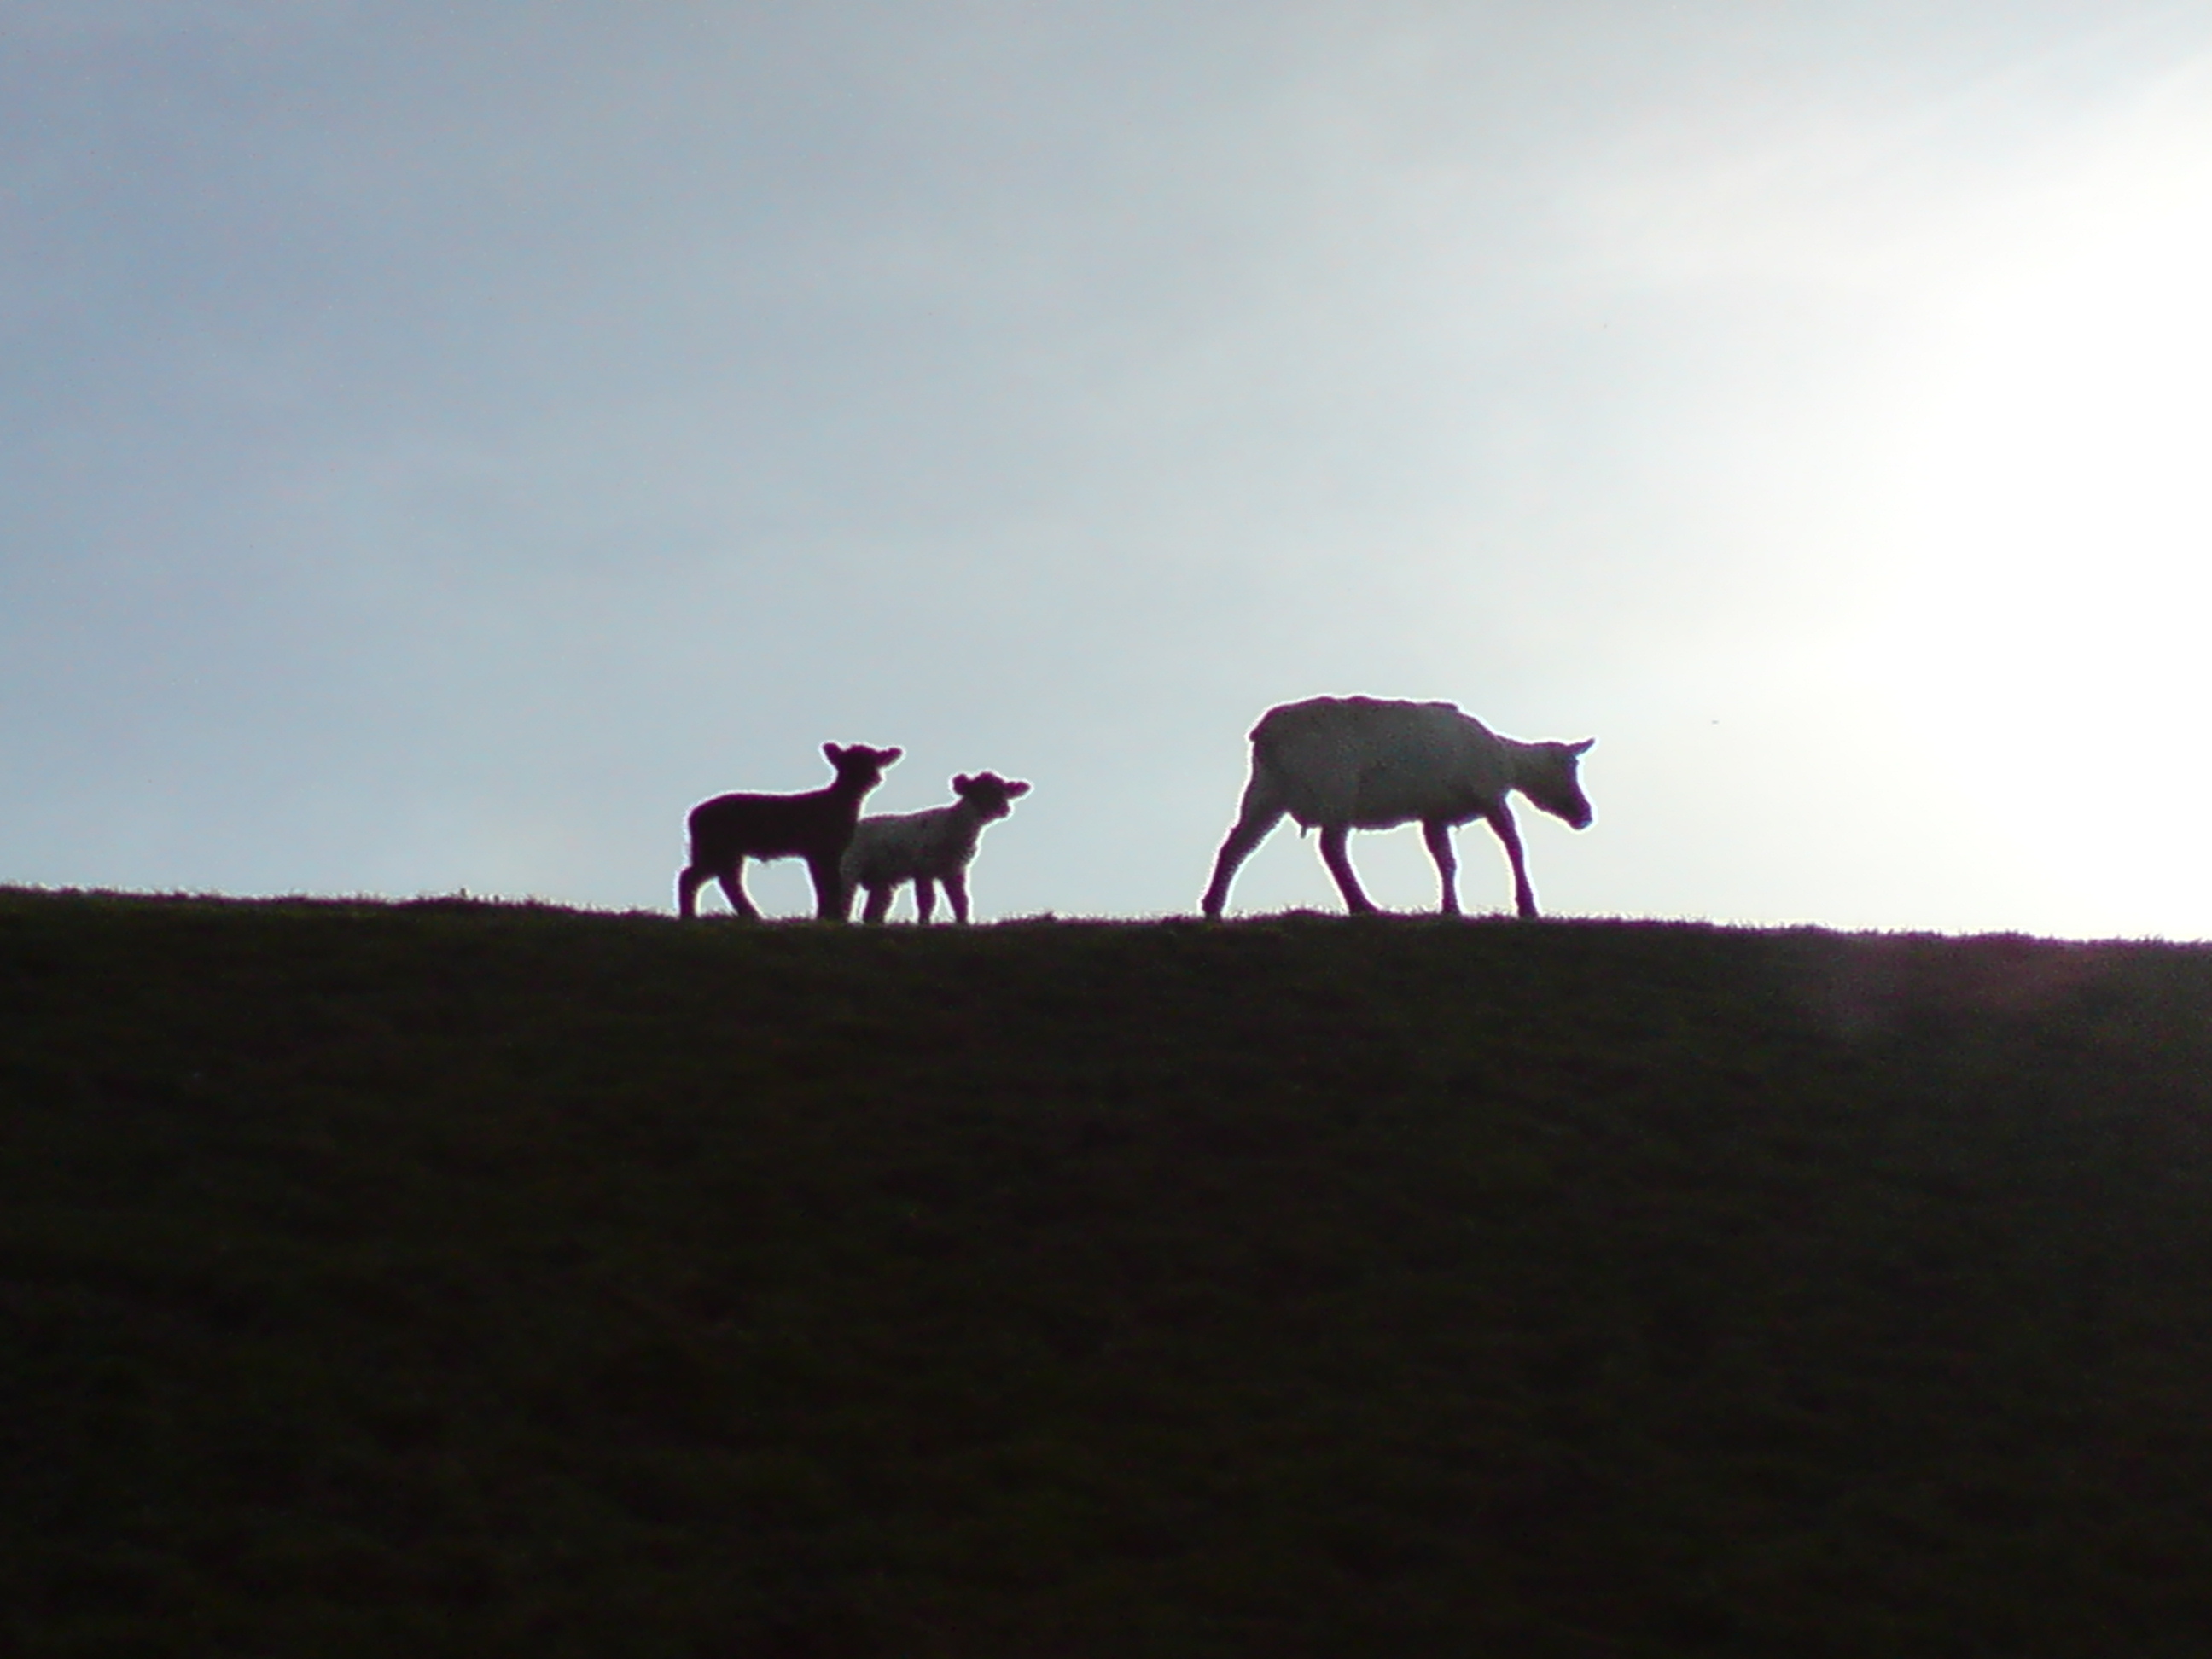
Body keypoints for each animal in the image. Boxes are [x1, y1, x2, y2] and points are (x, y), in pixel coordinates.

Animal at [677, 742, 902, 920]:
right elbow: (824, 884)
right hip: (715, 846)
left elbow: (832, 882)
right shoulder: (817, 849)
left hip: (723, 850)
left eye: (875, 761)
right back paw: (691, 915)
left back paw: (748, 914)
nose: (874, 778)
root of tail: (693, 815)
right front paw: (828, 916)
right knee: (695, 877)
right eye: (848, 764)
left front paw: (830, 916)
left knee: (724, 879)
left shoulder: (833, 850)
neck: (838, 803)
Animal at [842, 771, 1032, 924]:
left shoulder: (955, 869)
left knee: (873, 910)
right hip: (849, 865)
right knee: (845, 897)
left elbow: (960, 899)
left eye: (1005, 791)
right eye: (980, 791)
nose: (1004, 809)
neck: (955, 824)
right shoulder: (923, 867)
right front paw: (923, 923)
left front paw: (963, 923)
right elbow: (927, 901)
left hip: (881, 877)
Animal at [1200, 696, 1593, 920]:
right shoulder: (1491, 795)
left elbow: (1446, 861)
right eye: (1569, 766)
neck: (1510, 763)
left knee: (1236, 845)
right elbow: (1514, 846)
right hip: (1335, 783)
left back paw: (1212, 907)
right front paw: (1527, 906)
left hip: (1266, 791)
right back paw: (1363, 906)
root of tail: (1264, 736)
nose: (1586, 815)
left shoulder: (1434, 815)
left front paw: (1450, 909)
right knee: (1331, 847)